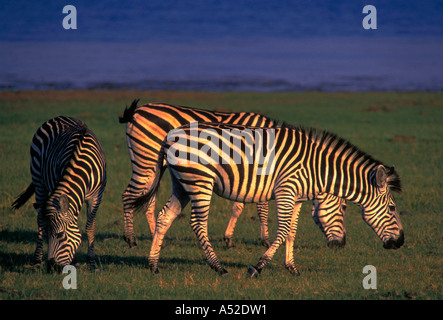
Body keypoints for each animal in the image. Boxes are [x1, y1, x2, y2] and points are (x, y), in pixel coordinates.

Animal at [11, 116, 106, 272]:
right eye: (49, 235)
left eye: (60, 234)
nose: (52, 268)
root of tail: (59, 117)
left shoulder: (96, 197)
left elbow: (90, 227)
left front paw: (92, 262)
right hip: (39, 181)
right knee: (40, 220)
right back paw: (37, 261)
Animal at [119, 99, 348, 249]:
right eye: (344, 208)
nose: (343, 244)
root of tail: (138, 110)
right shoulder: (258, 171)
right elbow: (261, 208)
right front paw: (264, 240)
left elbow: (239, 205)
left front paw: (229, 238)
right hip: (145, 161)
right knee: (129, 196)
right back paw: (131, 239)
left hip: (156, 167)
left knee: (148, 200)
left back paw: (155, 237)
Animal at [136, 121, 406, 276]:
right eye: (393, 208)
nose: (401, 242)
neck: (316, 168)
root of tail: (170, 135)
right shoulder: (286, 190)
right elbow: (283, 230)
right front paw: (258, 267)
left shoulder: (297, 198)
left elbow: (292, 231)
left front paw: (292, 267)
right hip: (200, 181)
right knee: (198, 224)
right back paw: (218, 266)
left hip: (182, 183)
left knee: (165, 217)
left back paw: (153, 265)